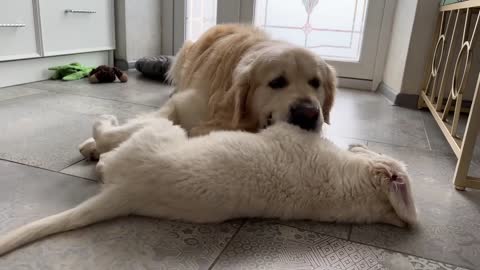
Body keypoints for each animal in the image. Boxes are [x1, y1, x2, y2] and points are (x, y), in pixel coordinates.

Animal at [0, 116, 414, 255]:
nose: (358, 145)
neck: (354, 187)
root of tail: (128, 193)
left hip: (159, 133)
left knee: (109, 142)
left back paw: (100, 128)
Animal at [79, 24, 336, 159]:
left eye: (316, 82)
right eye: (277, 82)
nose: (308, 114)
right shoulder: (182, 104)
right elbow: (136, 124)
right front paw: (94, 143)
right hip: (185, 52)